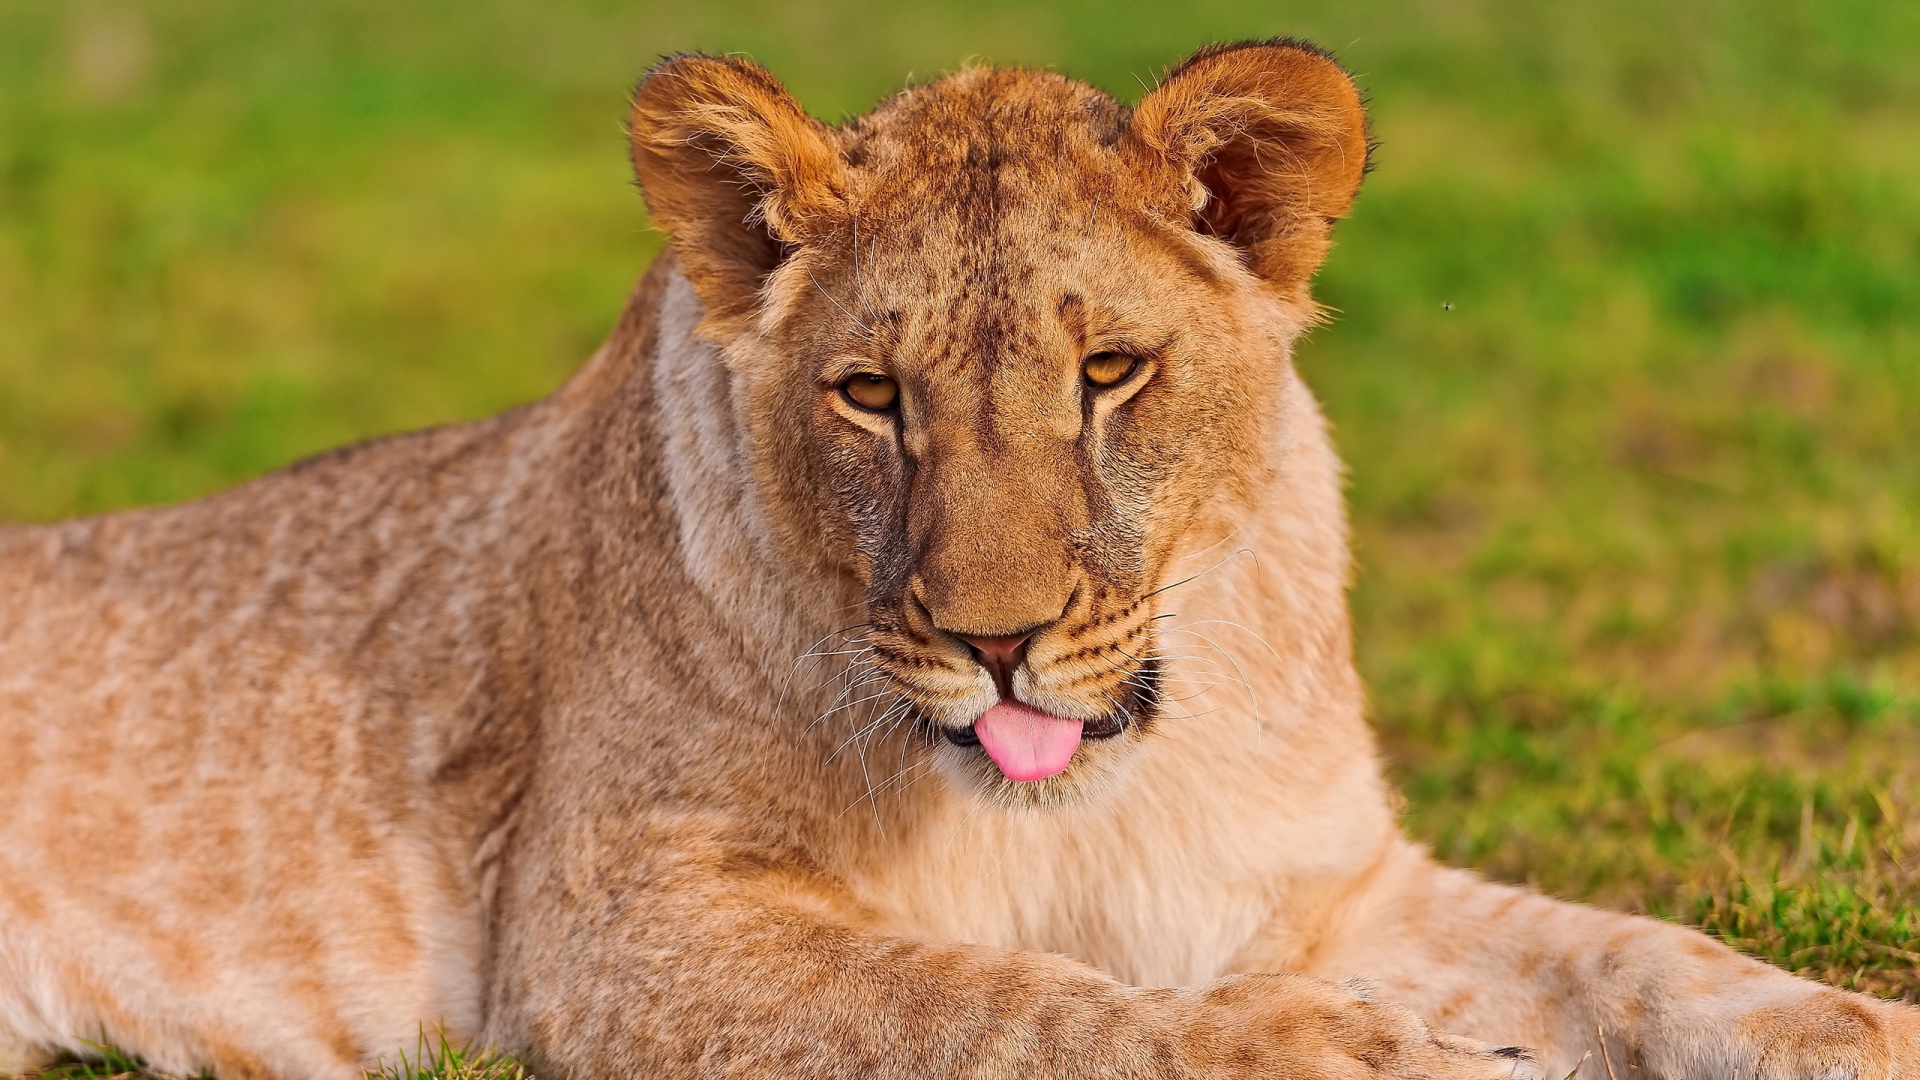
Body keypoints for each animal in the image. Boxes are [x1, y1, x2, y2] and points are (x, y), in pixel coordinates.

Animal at [2, 39, 1916, 1080]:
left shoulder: (1326, 888)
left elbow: (1639, 956)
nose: (999, 643)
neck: (1099, 796)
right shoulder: (612, 932)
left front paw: (1860, 1027)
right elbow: (1000, 1004)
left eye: (1110, 372)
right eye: (872, 396)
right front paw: (1343, 1051)